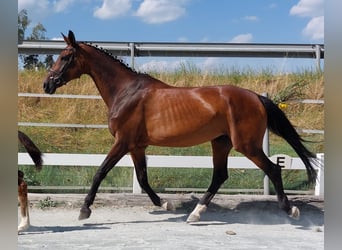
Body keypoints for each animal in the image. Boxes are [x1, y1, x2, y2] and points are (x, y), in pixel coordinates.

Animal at [42, 30, 318, 223]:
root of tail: (256, 97)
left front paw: (84, 210)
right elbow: (142, 178)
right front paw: (166, 204)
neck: (126, 92)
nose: (47, 84)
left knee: (273, 169)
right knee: (220, 175)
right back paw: (195, 213)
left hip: (247, 145)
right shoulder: (136, 146)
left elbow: (100, 172)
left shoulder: (122, 142)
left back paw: (290, 210)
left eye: (65, 57)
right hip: (221, 142)